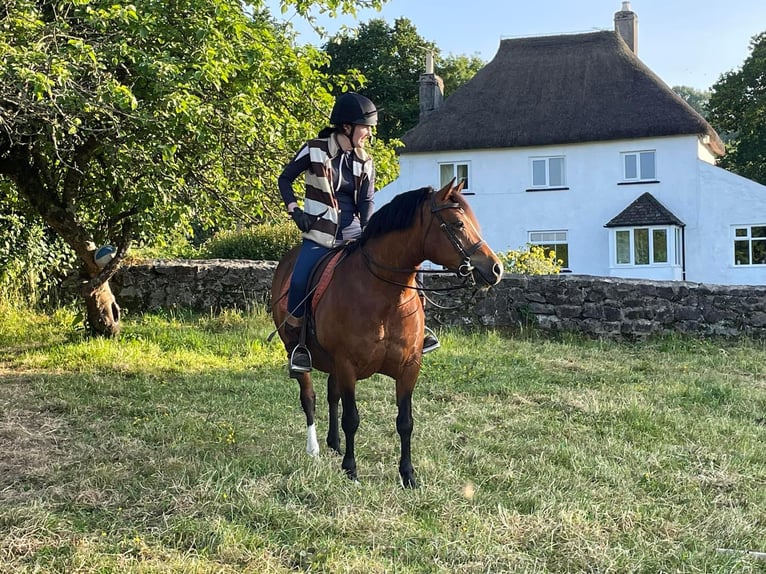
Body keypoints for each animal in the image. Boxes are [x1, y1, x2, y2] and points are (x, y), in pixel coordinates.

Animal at [270, 180, 504, 490]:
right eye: (457, 224)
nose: (495, 269)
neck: (384, 295)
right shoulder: (347, 365)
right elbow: (351, 418)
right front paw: (351, 470)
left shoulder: (409, 367)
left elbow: (405, 422)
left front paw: (408, 475)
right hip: (297, 352)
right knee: (309, 398)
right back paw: (315, 449)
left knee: (332, 394)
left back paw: (335, 444)